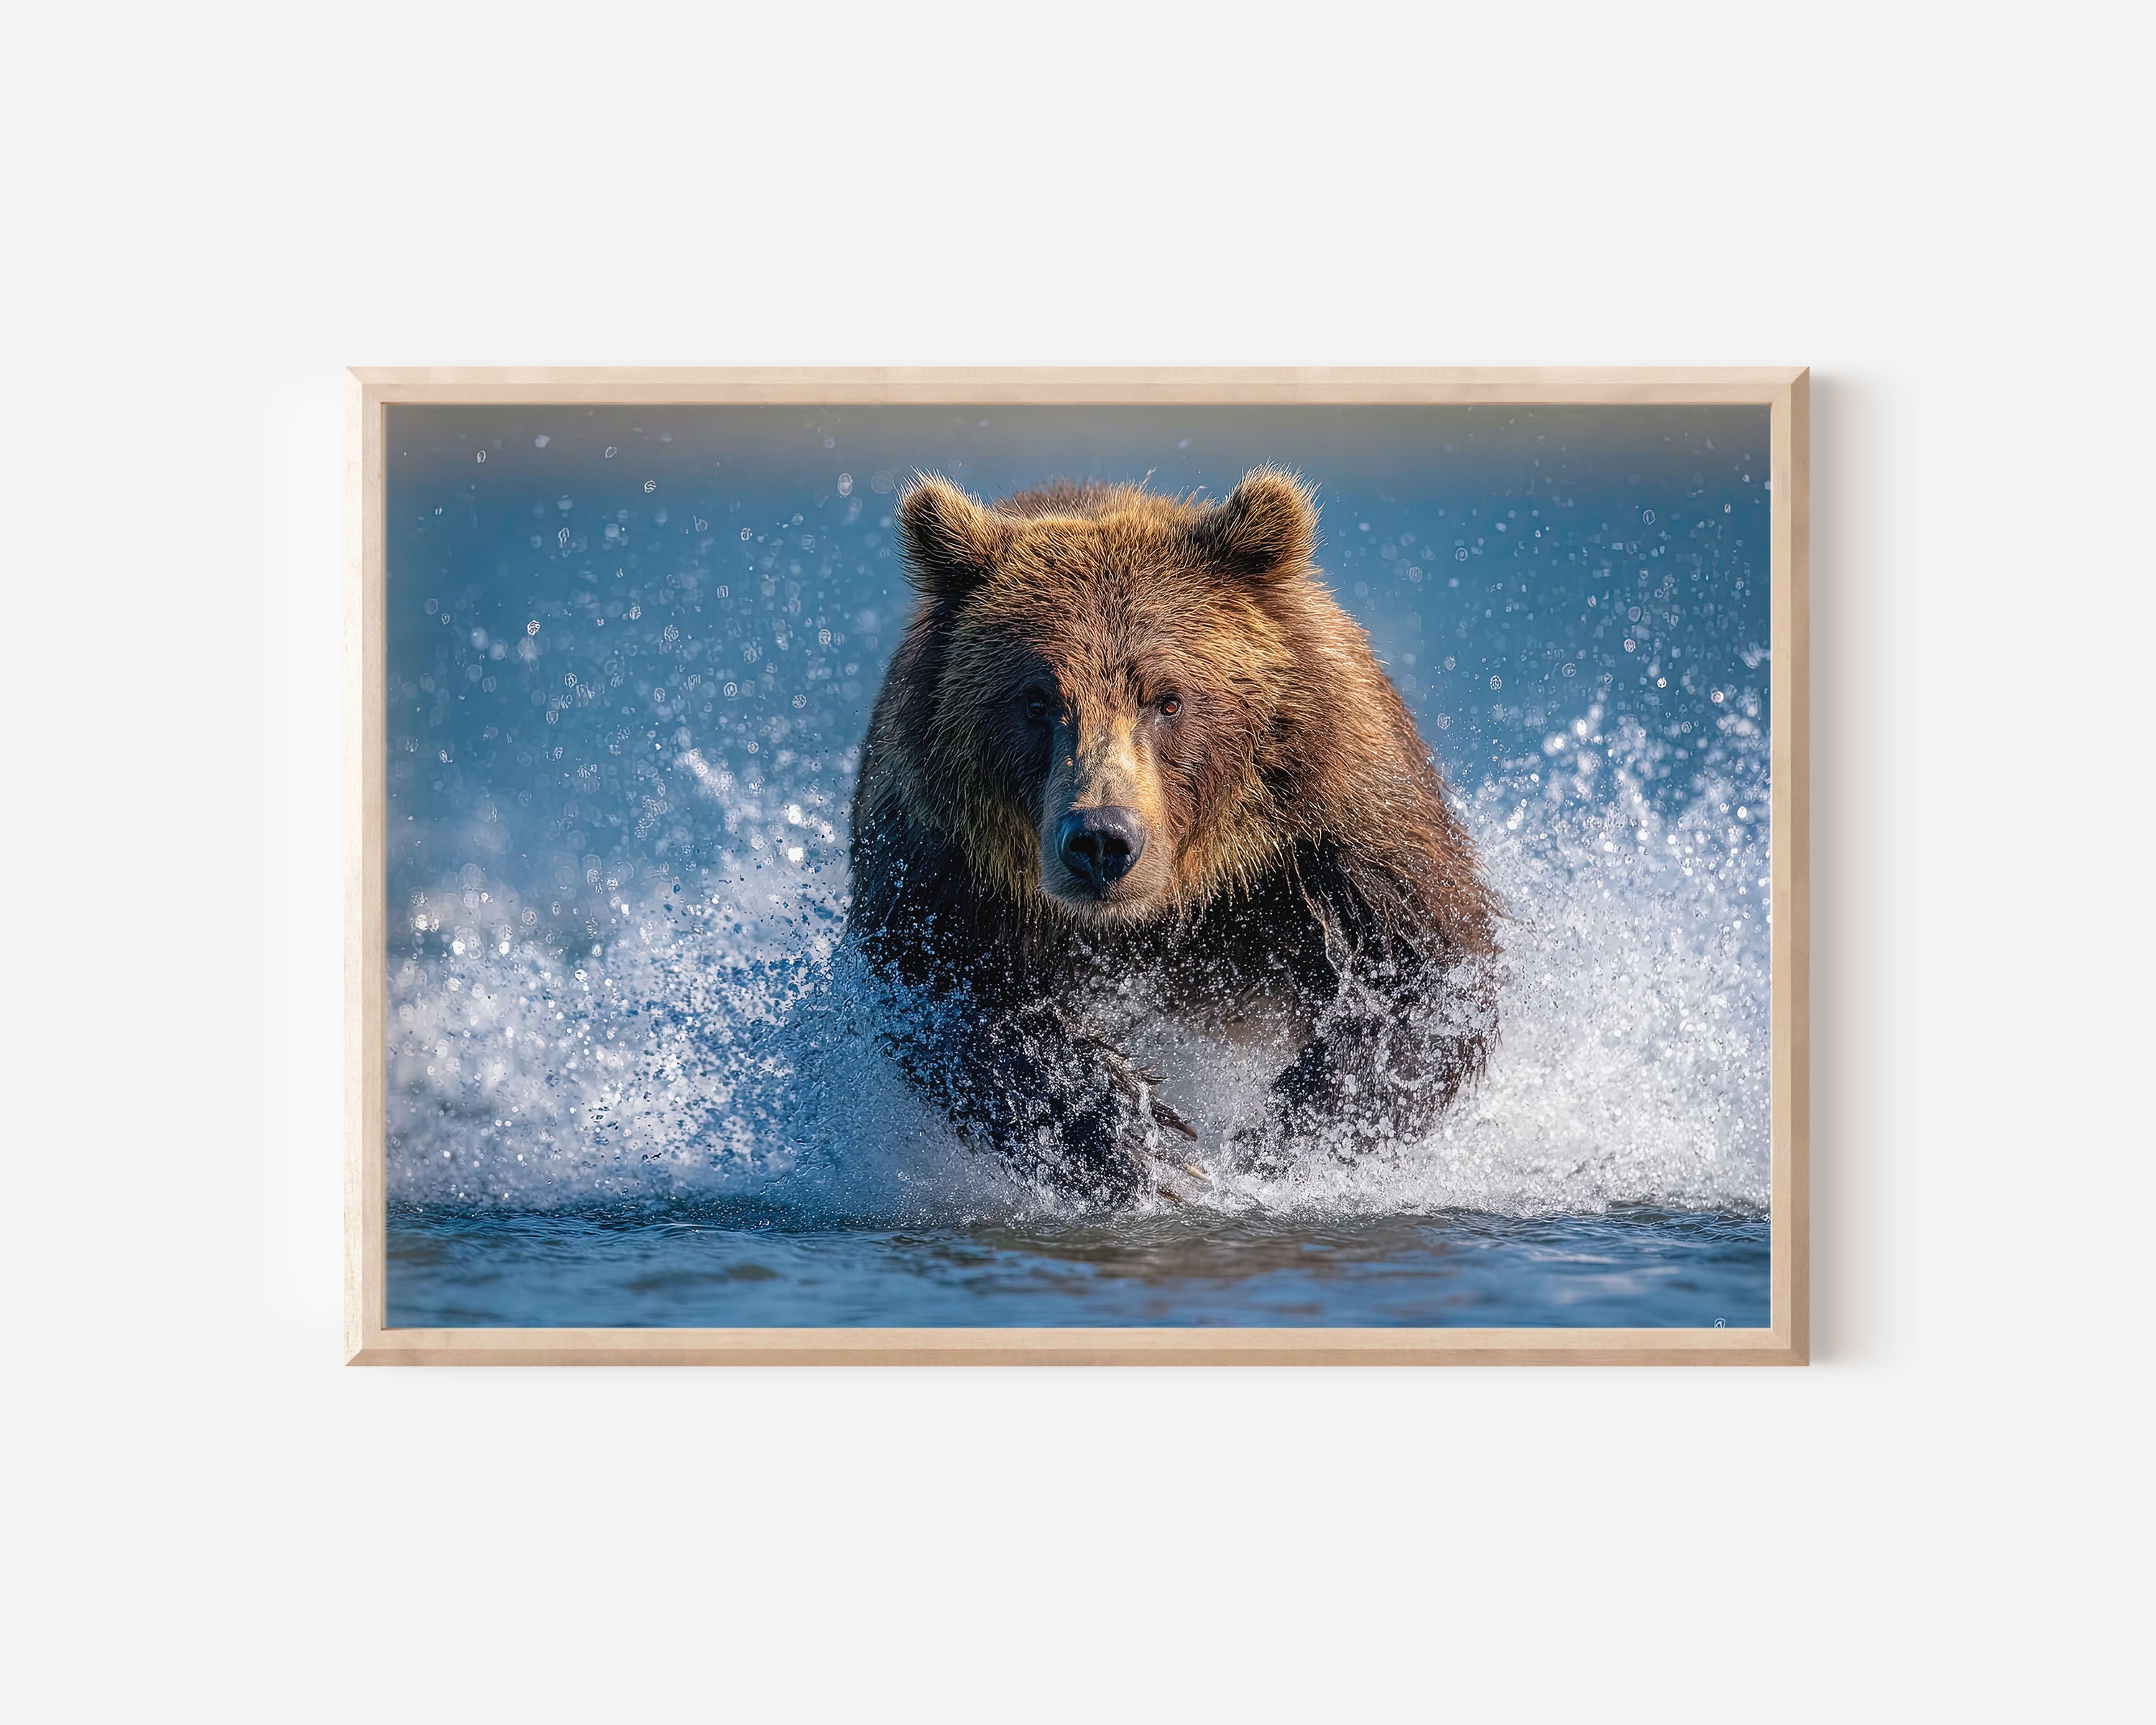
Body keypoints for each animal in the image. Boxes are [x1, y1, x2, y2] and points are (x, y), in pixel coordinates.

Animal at [846, 467, 1498, 1204]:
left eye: (1168, 699)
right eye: (1037, 700)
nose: (1101, 841)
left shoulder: (1336, 816)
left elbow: (1426, 976)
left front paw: (1280, 1144)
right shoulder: (940, 860)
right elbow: (946, 999)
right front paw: (1124, 1129)